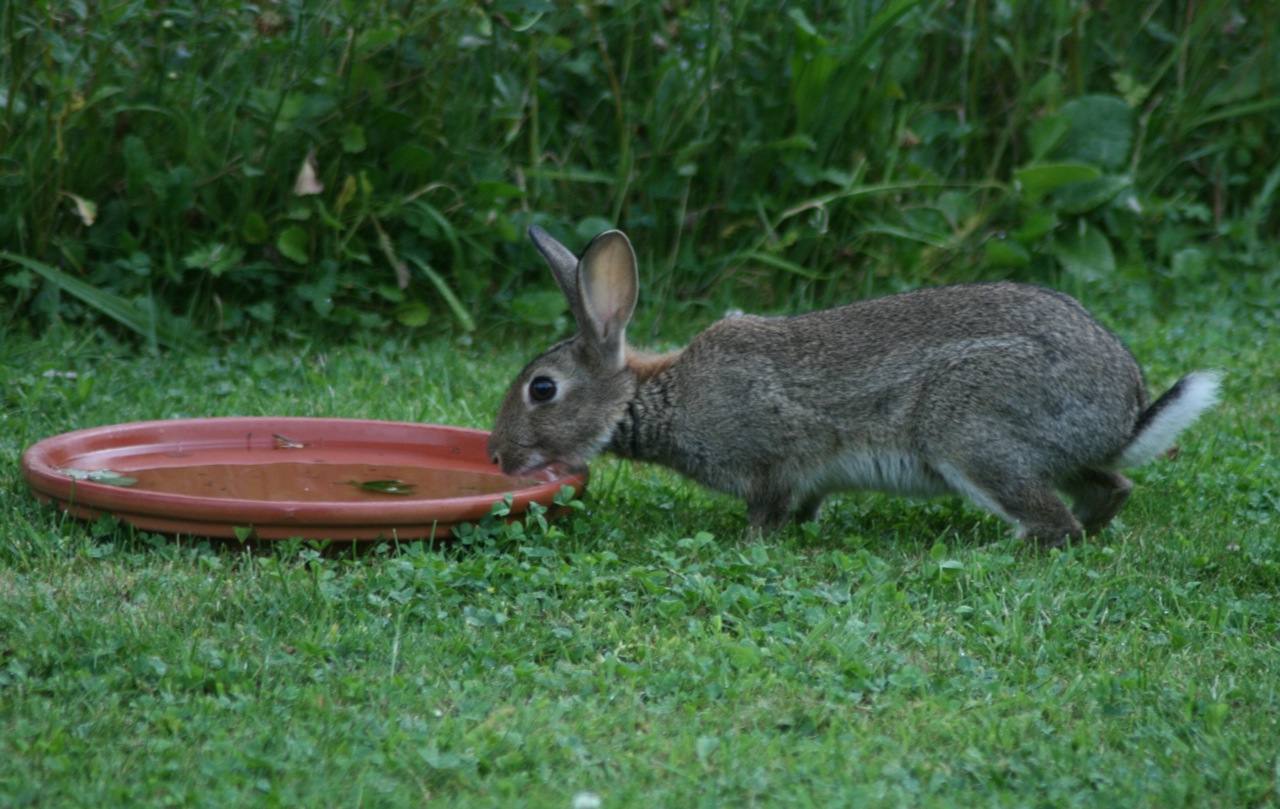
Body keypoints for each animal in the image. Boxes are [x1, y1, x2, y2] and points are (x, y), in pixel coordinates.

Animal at [486, 224, 1218, 547]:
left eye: (543, 390)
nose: (495, 454)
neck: (653, 394)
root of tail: (1125, 408)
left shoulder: (770, 459)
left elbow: (767, 511)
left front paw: (753, 545)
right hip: (1047, 451)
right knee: (1108, 488)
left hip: (973, 434)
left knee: (1050, 520)